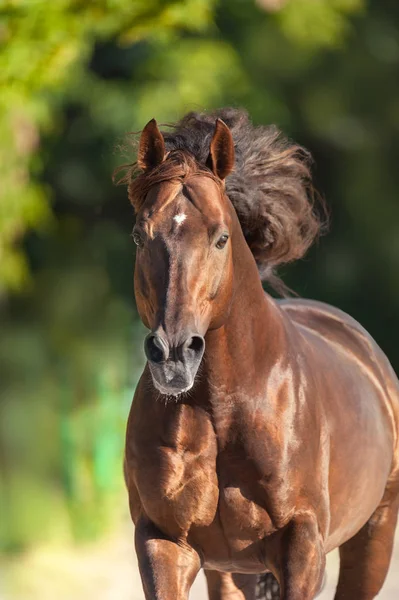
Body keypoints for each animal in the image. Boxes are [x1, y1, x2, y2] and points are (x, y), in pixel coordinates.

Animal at [121, 109, 399, 600]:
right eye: (140, 236)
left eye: (220, 238)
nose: (174, 356)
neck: (223, 412)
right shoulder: (164, 543)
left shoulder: (301, 549)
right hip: (232, 571)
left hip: (375, 534)